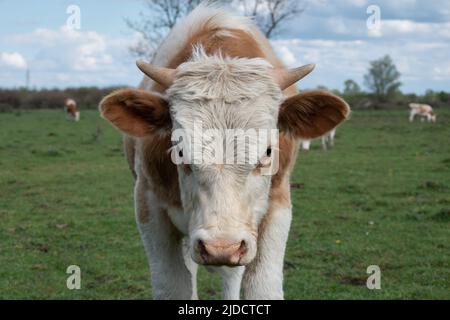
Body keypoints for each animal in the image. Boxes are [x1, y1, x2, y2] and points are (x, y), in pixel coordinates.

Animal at [99, 3, 352, 300]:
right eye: (179, 151)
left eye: (268, 151)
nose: (221, 247)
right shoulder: (148, 204)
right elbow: (174, 285)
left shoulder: (277, 206)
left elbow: (262, 286)